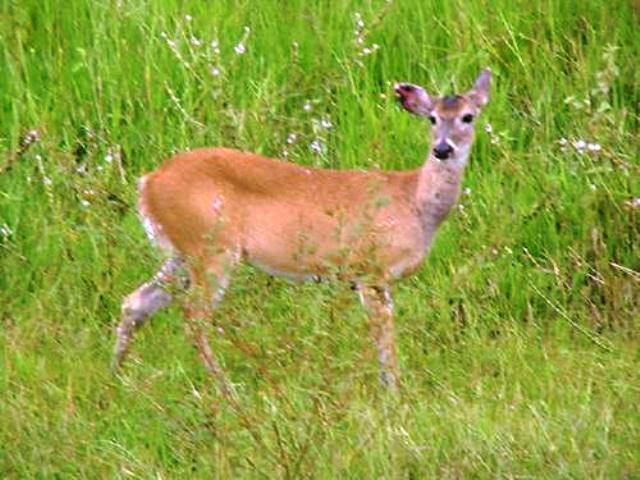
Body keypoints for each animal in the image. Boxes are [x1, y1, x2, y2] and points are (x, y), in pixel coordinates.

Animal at [112, 69, 492, 392]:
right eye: (432, 118)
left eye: (468, 117)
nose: (442, 149)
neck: (414, 203)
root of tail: (148, 183)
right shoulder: (370, 270)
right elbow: (384, 339)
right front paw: (393, 395)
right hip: (211, 248)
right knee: (193, 317)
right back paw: (227, 392)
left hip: (184, 251)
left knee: (136, 302)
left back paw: (117, 378)